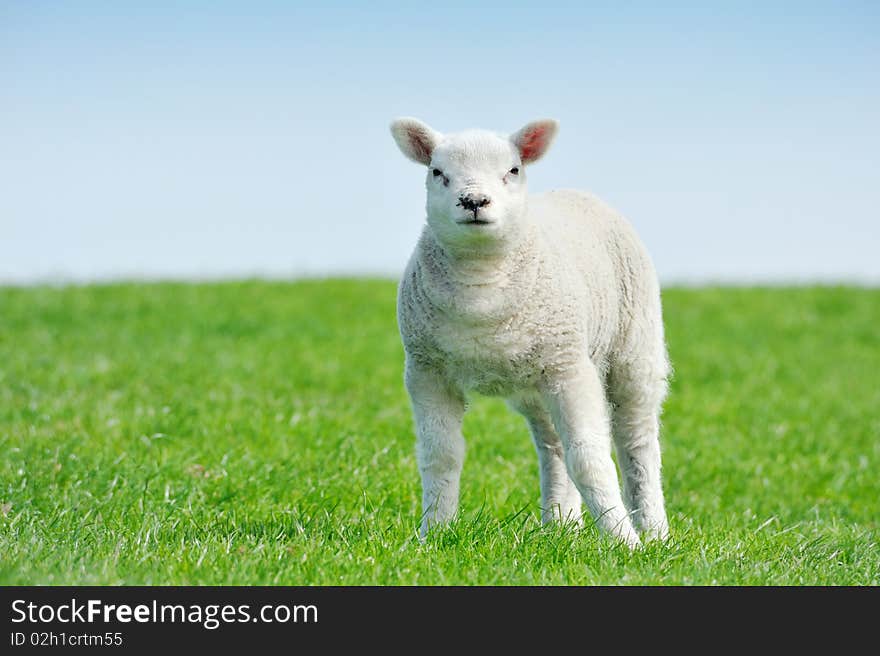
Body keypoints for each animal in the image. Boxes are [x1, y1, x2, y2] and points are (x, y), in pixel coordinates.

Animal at [388, 118, 672, 548]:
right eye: (437, 172)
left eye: (513, 170)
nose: (474, 201)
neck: (482, 297)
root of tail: (576, 192)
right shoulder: (426, 370)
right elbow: (441, 455)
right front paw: (433, 534)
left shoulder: (570, 367)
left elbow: (589, 457)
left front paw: (623, 541)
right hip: (534, 382)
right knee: (553, 445)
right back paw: (561, 524)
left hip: (633, 349)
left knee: (636, 440)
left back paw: (654, 531)